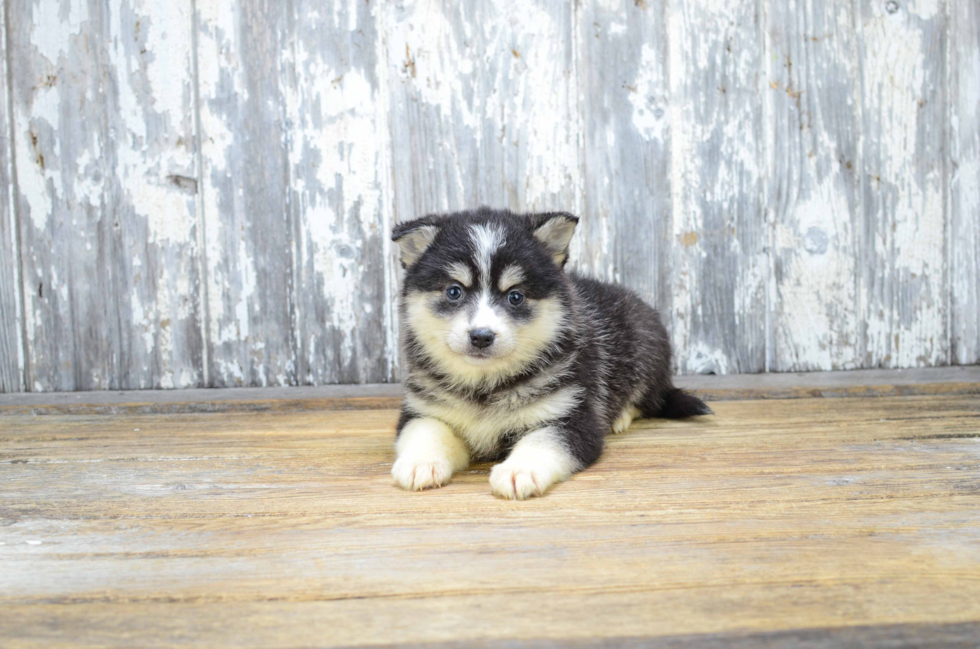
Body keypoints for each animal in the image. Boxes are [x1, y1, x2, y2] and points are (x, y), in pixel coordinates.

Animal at [386, 208, 708, 502]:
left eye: (515, 296)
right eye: (454, 292)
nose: (481, 336)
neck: (485, 386)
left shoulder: (571, 416)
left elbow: (542, 441)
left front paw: (520, 470)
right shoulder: (424, 410)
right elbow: (425, 432)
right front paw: (421, 463)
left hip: (646, 345)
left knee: (645, 398)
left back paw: (620, 417)